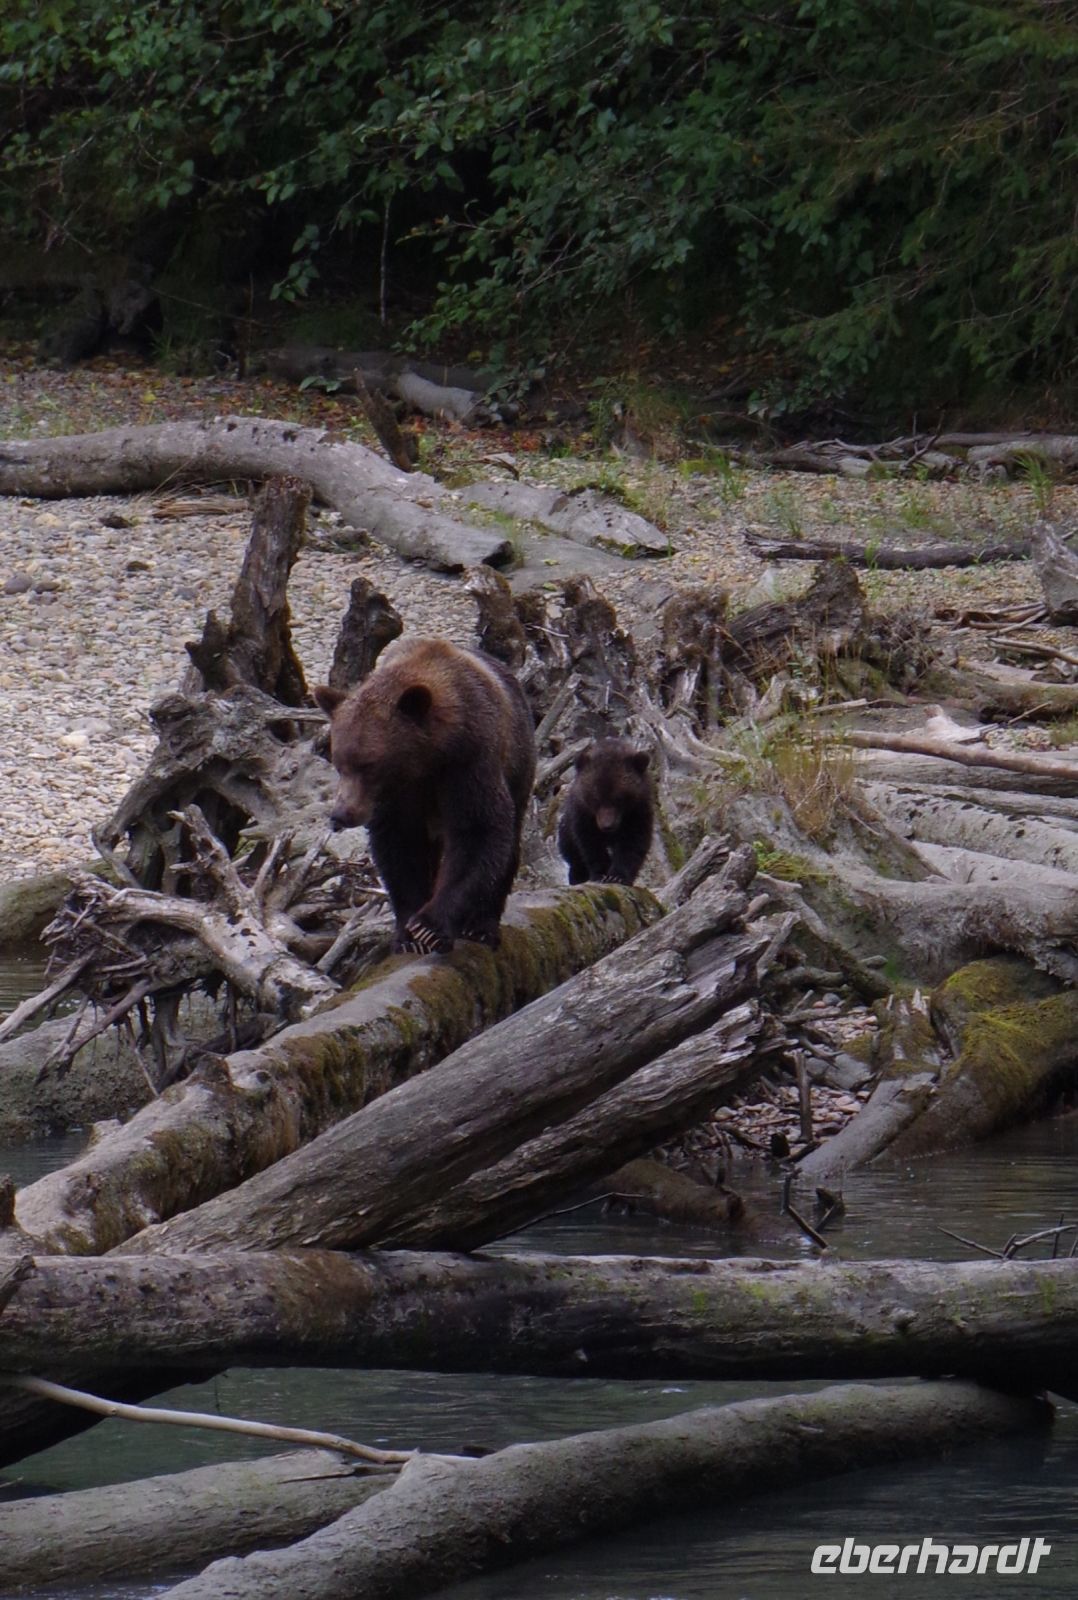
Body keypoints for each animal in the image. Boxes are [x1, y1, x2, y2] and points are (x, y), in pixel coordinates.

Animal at [314, 637, 536, 954]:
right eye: (339, 763)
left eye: (368, 764)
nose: (341, 814)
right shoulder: (399, 797)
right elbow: (400, 847)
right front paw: (408, 934)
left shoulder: (469, 762)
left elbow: (478, 832)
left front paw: (429, 926)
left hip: (519, 763)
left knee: (510, 843)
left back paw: (482, 926)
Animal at [557, 737, 654, 887]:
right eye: (595, 798)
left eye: (619, 798)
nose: (607, 825)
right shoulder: (583, 814)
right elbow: (590, 843)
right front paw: (600, 874)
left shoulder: (637, 812)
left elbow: (633, 844)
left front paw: (617, 876)